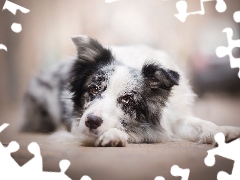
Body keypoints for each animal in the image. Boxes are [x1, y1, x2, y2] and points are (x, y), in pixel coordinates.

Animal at [20, 35, 240, 147]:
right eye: (94, 89)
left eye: (127, 100)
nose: (91, 121)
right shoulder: (77, 126)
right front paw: (114, 135)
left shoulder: (174, 118)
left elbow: (201, 124)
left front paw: (223, 131)